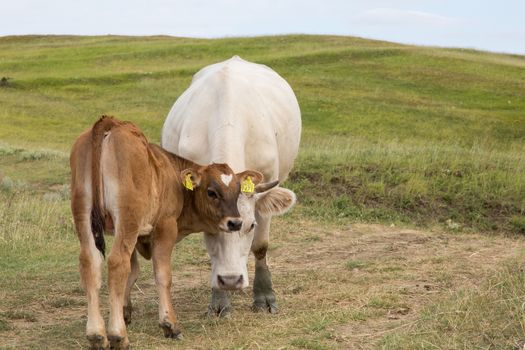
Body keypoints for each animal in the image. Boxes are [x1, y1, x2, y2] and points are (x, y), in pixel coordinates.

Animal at [69, 116, 262, 348]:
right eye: (211, 192)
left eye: (237, 190)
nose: (235, 222)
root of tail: (111, 123)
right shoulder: (165, 227)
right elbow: (162, 275)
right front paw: (169, 324)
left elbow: (132, 273)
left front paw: (125, 312)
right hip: (127, 218)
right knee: (117, 262)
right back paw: (117, 335)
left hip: (84, 216)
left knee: (90, 264)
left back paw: (97, 334)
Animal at [160, 56, 300, 316]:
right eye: (209, 227)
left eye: (251, 225)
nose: (231, 280)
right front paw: (219, 300)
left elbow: (261, 246)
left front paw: (264, 295)